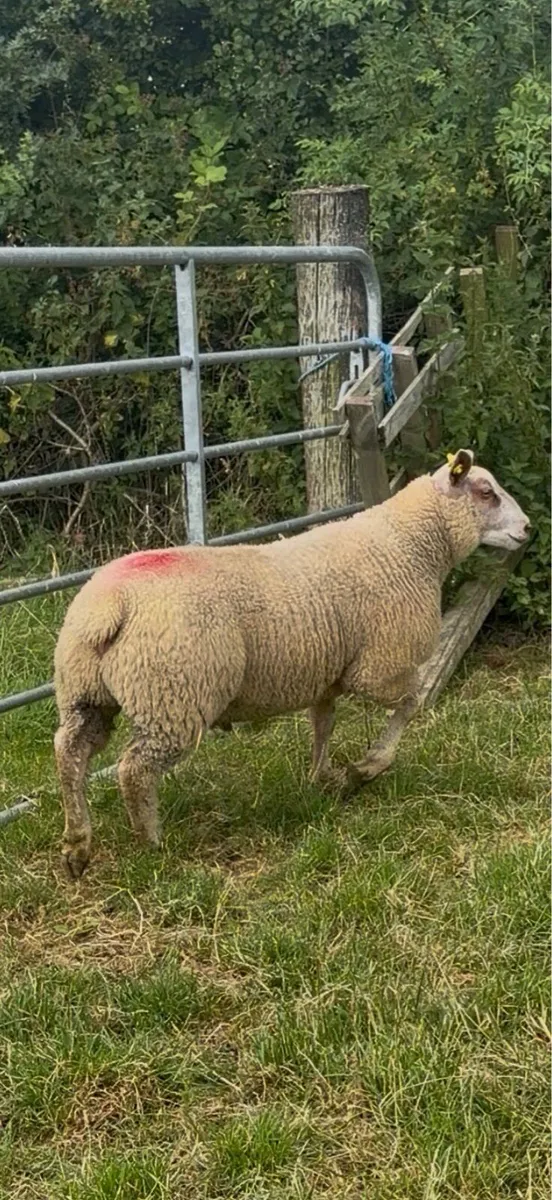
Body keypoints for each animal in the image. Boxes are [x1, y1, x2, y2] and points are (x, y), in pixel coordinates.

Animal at [53, 450, 530, 878]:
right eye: (486, 492)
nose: (528, 529)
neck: (411, 544)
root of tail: (110, 604)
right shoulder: (379, 668)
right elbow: (411, 704)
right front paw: (365, 768)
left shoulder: (327, 677)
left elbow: (323, 725)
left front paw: (321, 779)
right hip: (172, 697)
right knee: (133, 769)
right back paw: (150, 841)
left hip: (86, 692)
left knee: (70, 751)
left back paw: (78, 844)